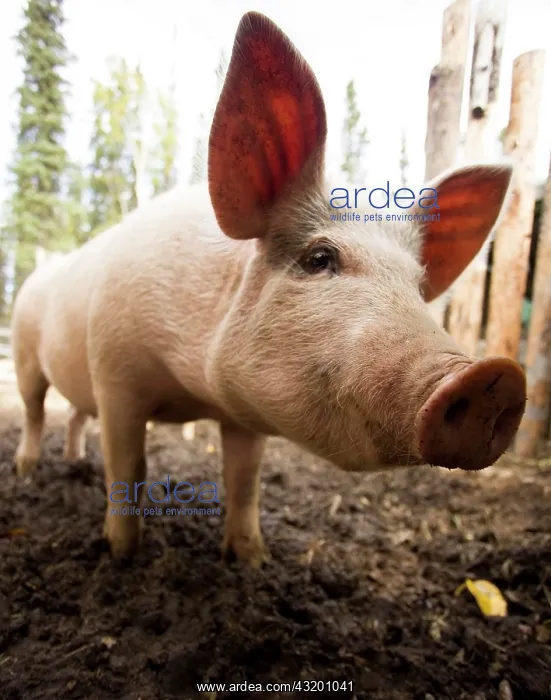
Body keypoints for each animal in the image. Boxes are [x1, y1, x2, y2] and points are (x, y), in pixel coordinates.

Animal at [11, 11, 526, 566]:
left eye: (416, 285)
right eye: (319, 258)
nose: (493, 377)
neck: (192, 389)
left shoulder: (244, 413)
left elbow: (244, 479)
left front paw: (253, 560)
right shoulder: (115, 372)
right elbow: (129, 466)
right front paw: (122, 555)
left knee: (73, 417)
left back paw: (74, 462)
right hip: (23, 353)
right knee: (36, 411)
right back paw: (25, 470)